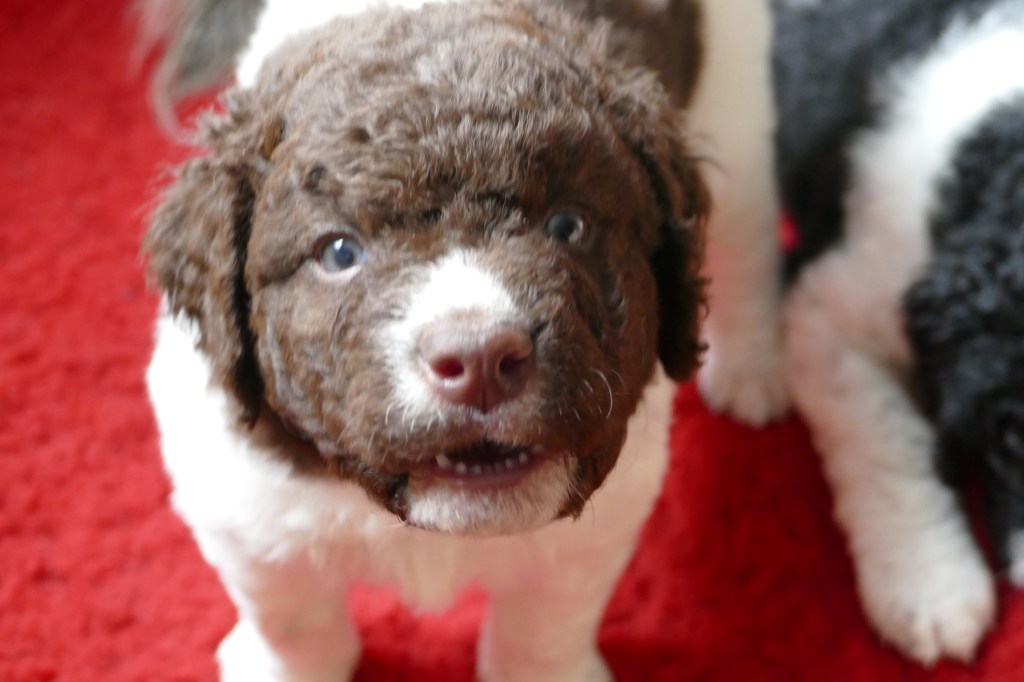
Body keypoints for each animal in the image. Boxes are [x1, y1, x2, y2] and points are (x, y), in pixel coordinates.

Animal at [142, 0, 783, 679]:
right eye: (338, 252)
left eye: (569, 225)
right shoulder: (246, 510)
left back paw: (753, 370)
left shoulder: (596, 530)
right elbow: (292, 621)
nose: (480, 358)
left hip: (738, 102)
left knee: (748, 243)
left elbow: (543, 632)